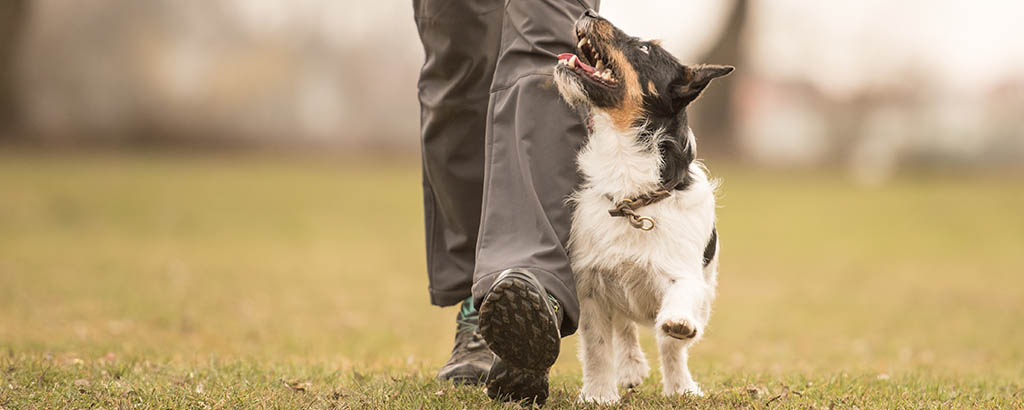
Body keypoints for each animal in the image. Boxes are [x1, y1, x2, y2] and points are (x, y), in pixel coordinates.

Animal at [557, 9, 733, 403]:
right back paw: (631, 367)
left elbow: (678, 311)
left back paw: (681, 386)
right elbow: (597, 347)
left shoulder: (686, 274)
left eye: (645, 50)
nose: (589, 12)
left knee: (671, 347)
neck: (632, 195)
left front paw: (679, 333)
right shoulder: (590, 284)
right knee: (624, 327)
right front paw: (599, 394)